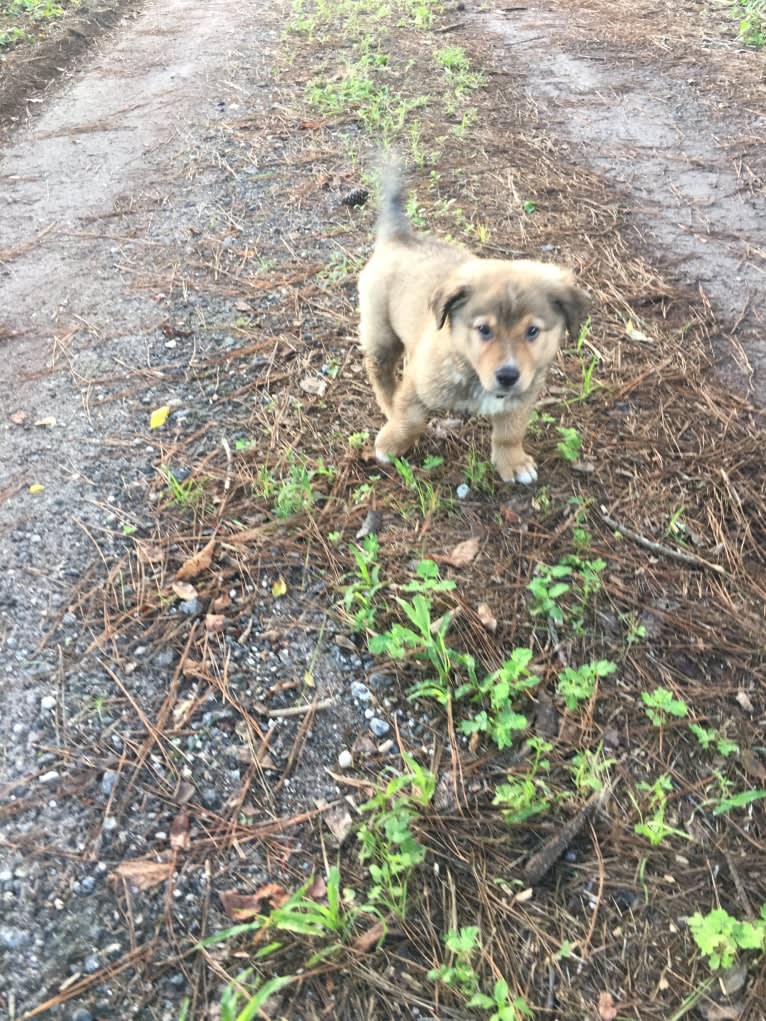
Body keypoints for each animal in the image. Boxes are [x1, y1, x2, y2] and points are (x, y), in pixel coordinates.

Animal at [357, 165, 592, 483]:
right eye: (484, 330)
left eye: (532, 331)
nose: (508, 375)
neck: (469, 366)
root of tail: (401, 238)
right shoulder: (419, 384)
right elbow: (409, 418)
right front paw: (391, 444)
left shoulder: (522, 397)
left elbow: (510, 432)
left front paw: (513, 462)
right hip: (380, 332)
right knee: (380, 372)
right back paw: (388, 404)